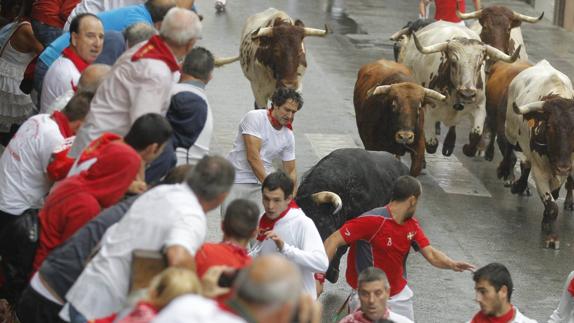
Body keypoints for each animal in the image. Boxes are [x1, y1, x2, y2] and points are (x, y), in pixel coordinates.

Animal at [504, 59, 574, 249]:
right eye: (550, 127)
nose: (563, 166)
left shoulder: (564, 171)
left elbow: (554, 197)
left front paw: (546, 223)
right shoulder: (541, 172)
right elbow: (552, 206)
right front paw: (551, 236)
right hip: (510, 131)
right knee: (512, 154)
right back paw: (514, 181)